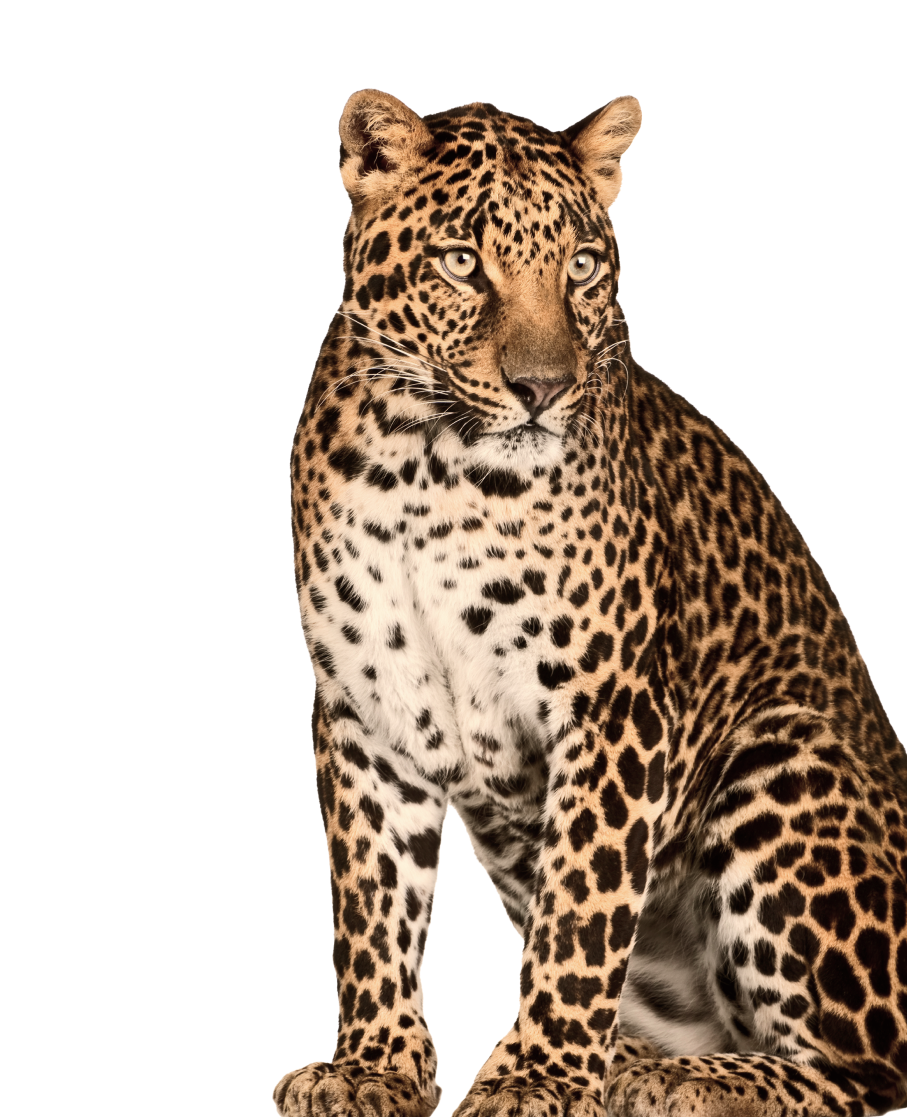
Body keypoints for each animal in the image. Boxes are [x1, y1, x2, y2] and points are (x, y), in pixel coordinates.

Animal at [274, 89, 907, 1117]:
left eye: (578, 265)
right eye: (462, 261)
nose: (542, 389)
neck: (428, 468)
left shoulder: (613, 704)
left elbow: (580, 911)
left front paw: (534, 1077)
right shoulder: (366, 711)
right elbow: (370, 905)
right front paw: (373, 1066)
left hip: (782, 748)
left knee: (863, 1061)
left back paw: (676, 1080)